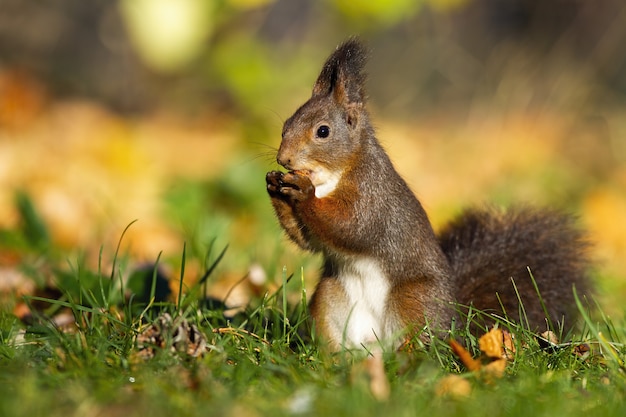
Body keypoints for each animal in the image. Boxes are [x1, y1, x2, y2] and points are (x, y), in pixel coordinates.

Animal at [266, 38, 588, 352]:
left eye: (323, 131)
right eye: (286, 125)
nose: (284, 159)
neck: (329, 177)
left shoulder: (372, 194)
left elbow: (352, 226)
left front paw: (304, 195)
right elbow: (309, 240)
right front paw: (274, 187)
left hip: (414, 300)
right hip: (331, 297)